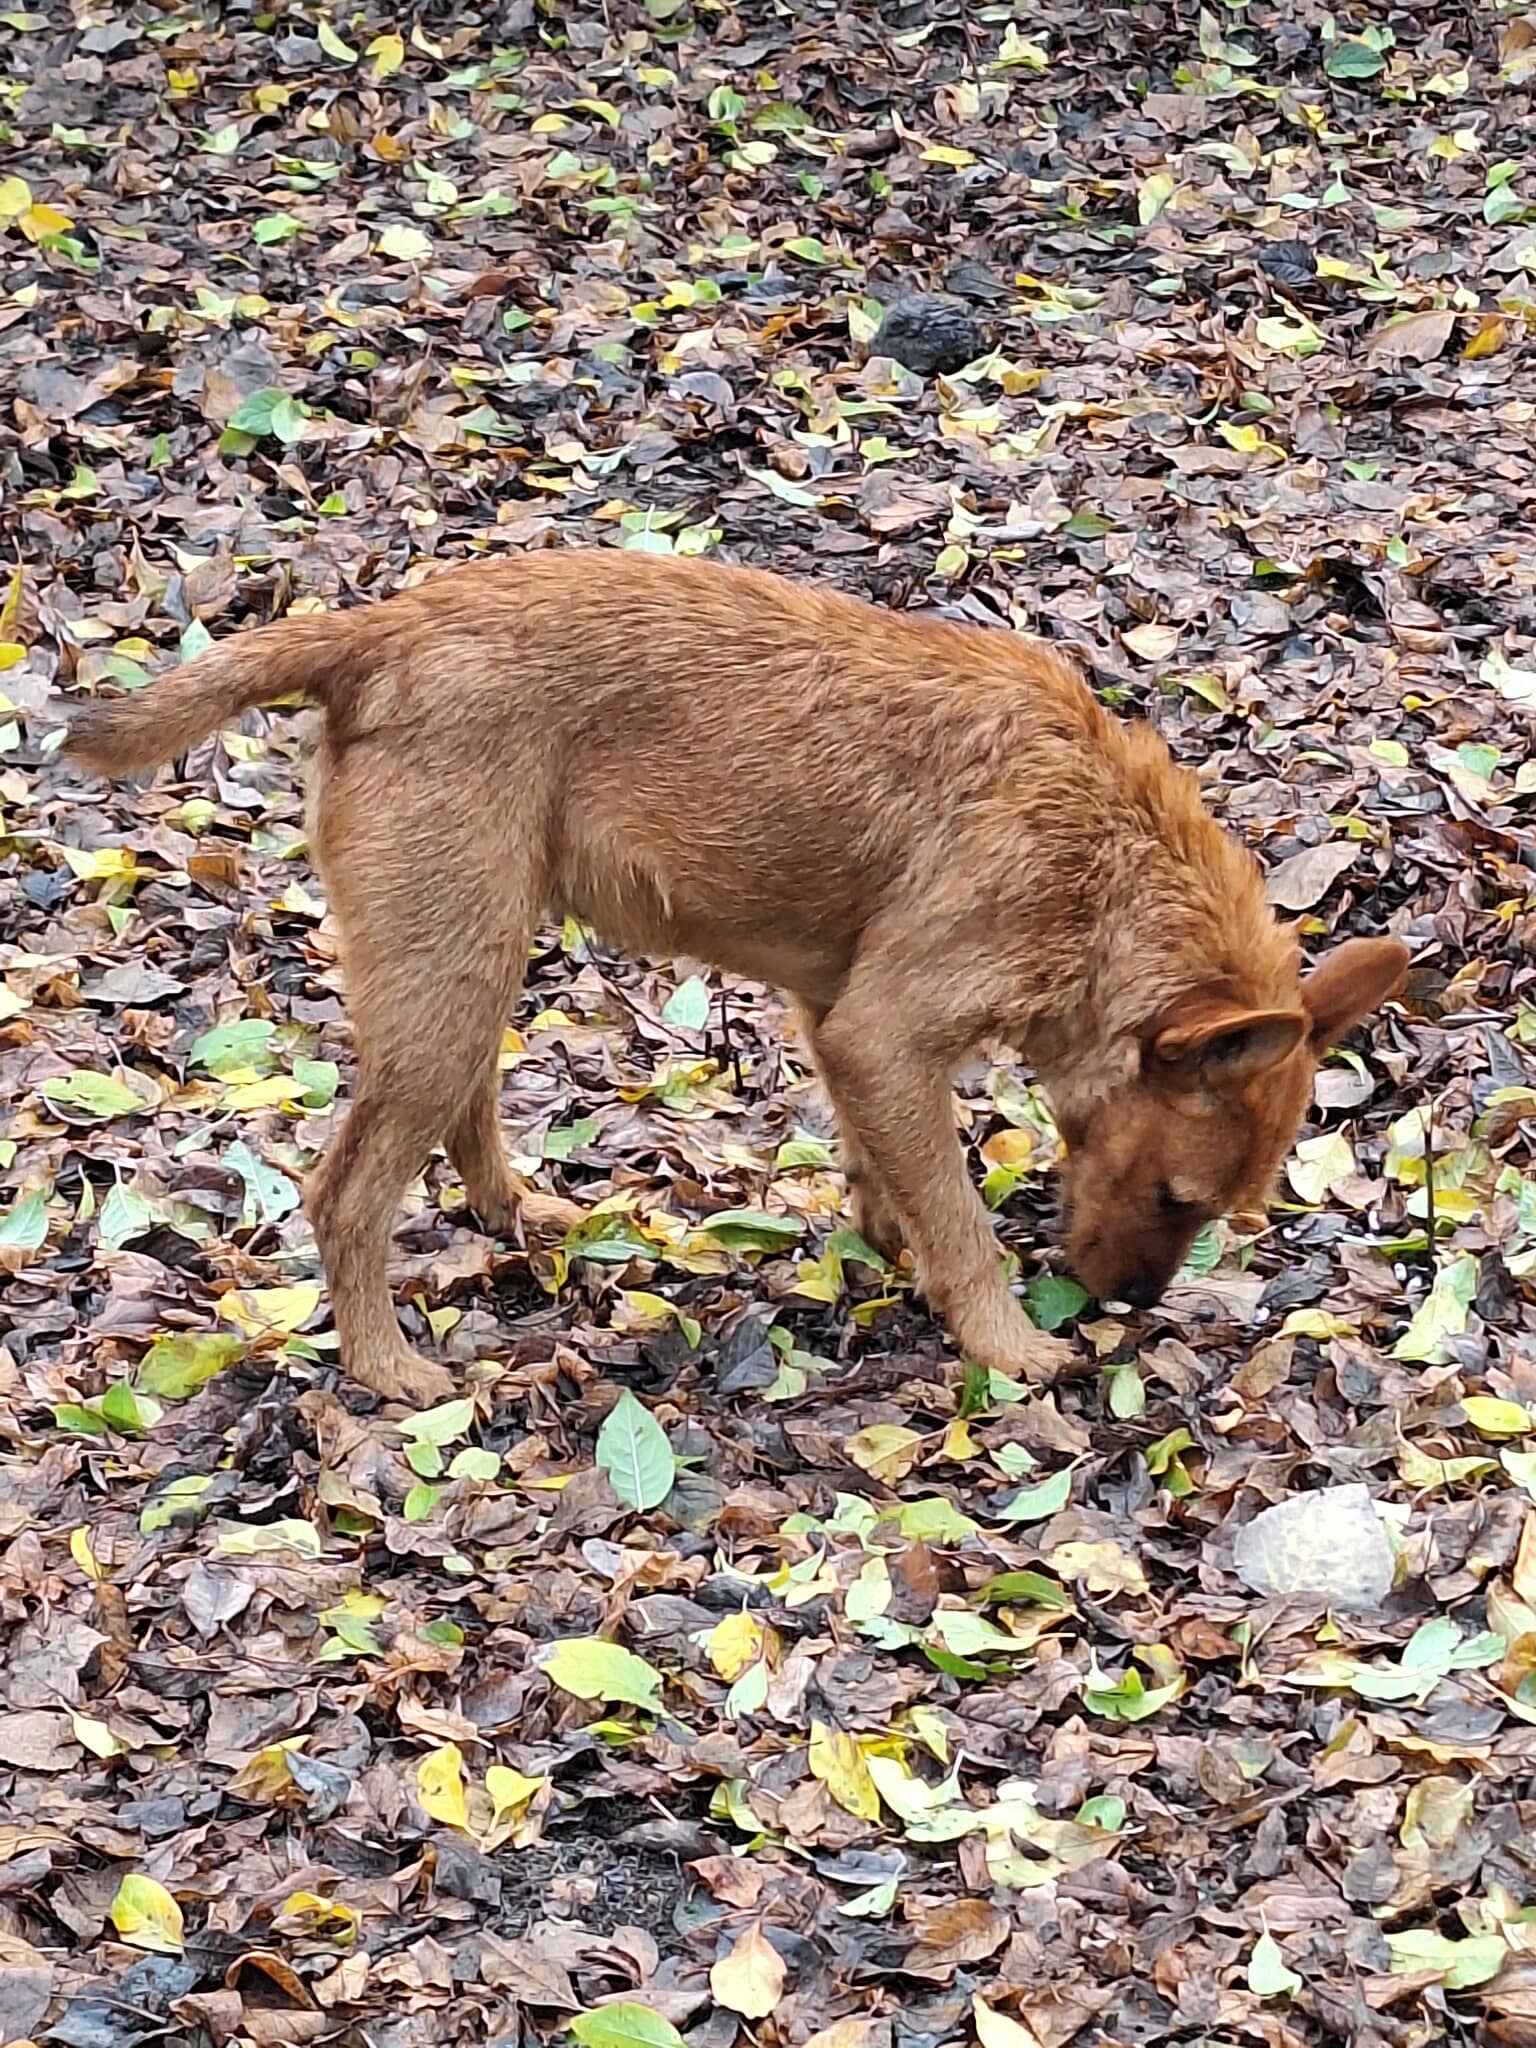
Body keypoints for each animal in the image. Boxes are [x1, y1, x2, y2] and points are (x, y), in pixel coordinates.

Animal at [64, 550, 1408, 1407]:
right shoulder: (885, 1027)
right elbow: (963, 1216)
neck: (1107, 861)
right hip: (451, 973)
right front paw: (1009, 1343)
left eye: (1216, 1213)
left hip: (475, 954)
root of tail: (379, 627)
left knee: (463, 1111)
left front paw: (884, 1238)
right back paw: (385, 1366)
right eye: (1180, 1197)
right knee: (344, 1190)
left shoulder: (839, 1015)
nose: (1128, 1304)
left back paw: (516, 1210)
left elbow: (891, 1170)